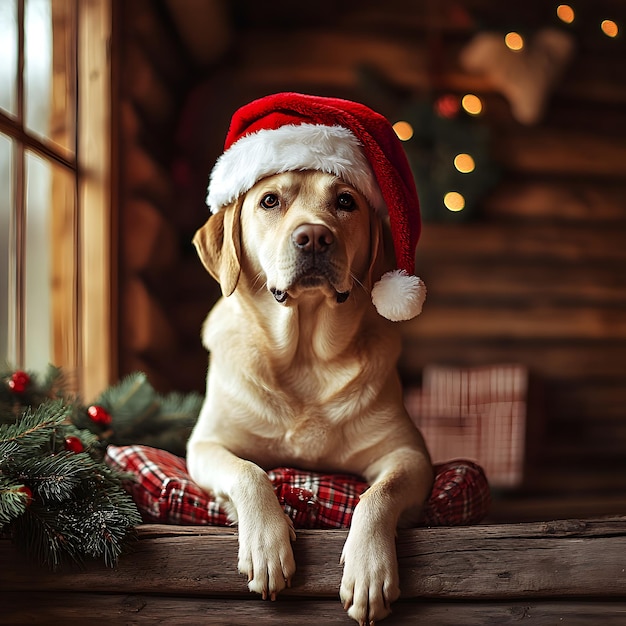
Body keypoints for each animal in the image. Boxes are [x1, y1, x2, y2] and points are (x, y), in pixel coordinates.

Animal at [188, 167, 432, 624]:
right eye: (269, 201)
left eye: (346, 201)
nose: (314, 236)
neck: (304, 357)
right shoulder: (204, 445)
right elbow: (248, 472)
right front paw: (266, 545)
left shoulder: (410, 455)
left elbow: (379, 494)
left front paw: (369, 569)